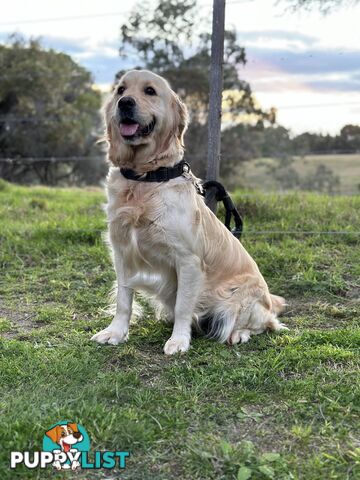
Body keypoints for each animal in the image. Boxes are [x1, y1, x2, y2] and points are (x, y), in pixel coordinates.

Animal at [90, 69, 286, 354]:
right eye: (120, 90)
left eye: (150, 91)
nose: (125, 103)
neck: (146, 177)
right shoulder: (122, 252)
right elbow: (123, 299)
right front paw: (115, 332)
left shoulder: (188, 260)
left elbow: (183, 305)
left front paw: (179, 340)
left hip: (237, 300)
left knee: (265, 323)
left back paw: (239, 334)